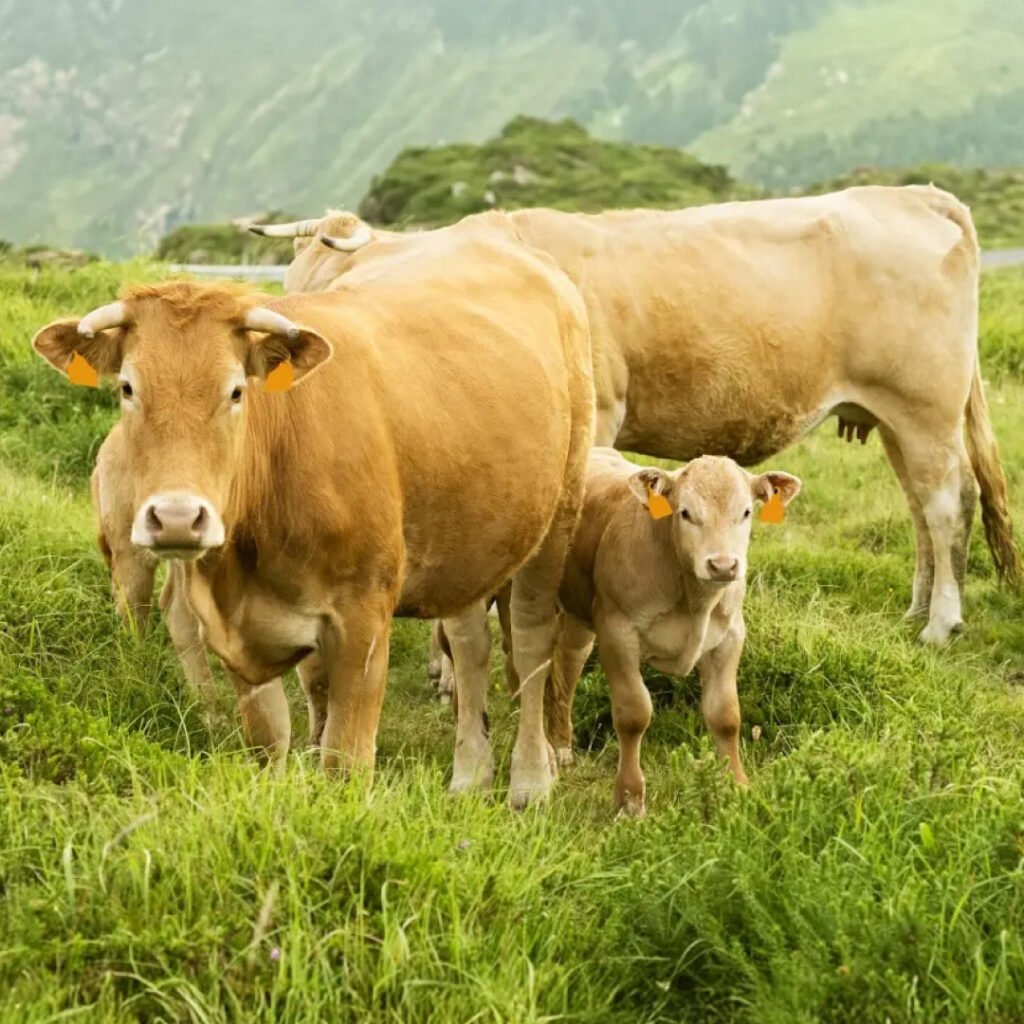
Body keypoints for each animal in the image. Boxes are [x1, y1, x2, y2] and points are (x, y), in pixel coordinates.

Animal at [33, 212, 594, 807]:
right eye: (127, 388)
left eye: (236, 391)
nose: (179, 518)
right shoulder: (234, 632)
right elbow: (268, 741)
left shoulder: (362, 619)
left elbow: (345, 759)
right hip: (470, 532)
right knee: (469, 644)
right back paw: (470, 775)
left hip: (558, 513)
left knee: (531, 642)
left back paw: (530, 780)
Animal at [552, 447, 801, 816]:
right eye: (685, 513)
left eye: (745, 511)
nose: (723, 565)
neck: (694, 601)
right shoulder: (617, 634)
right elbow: (633, 715)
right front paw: (630, 800)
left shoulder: (729, 639)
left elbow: (726, 716)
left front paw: (737, 786)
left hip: (577, 618)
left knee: (567, 664)